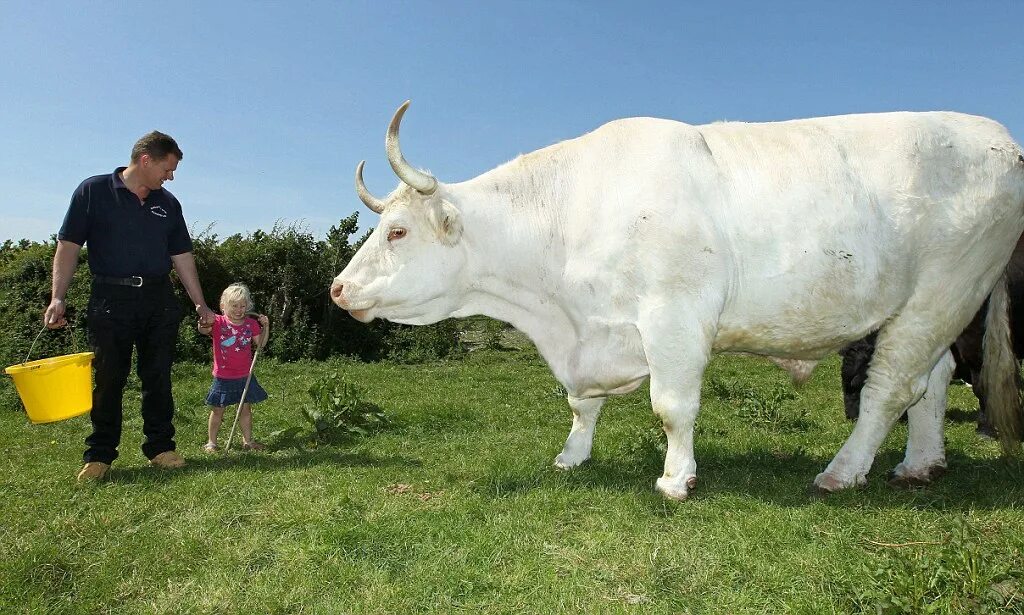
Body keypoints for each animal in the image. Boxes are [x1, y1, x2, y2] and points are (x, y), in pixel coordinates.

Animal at [333, 101, 1024, 499]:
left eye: (398, 232)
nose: (339, 288)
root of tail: (997, 137)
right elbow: (582, 405)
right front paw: (571, 457)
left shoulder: (675, 316)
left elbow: (671, 407)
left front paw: (674, 477)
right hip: (932, 308)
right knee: (933, 382)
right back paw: (921, 466)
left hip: (943, 291)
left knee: (890, 389)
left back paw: (843, 471)